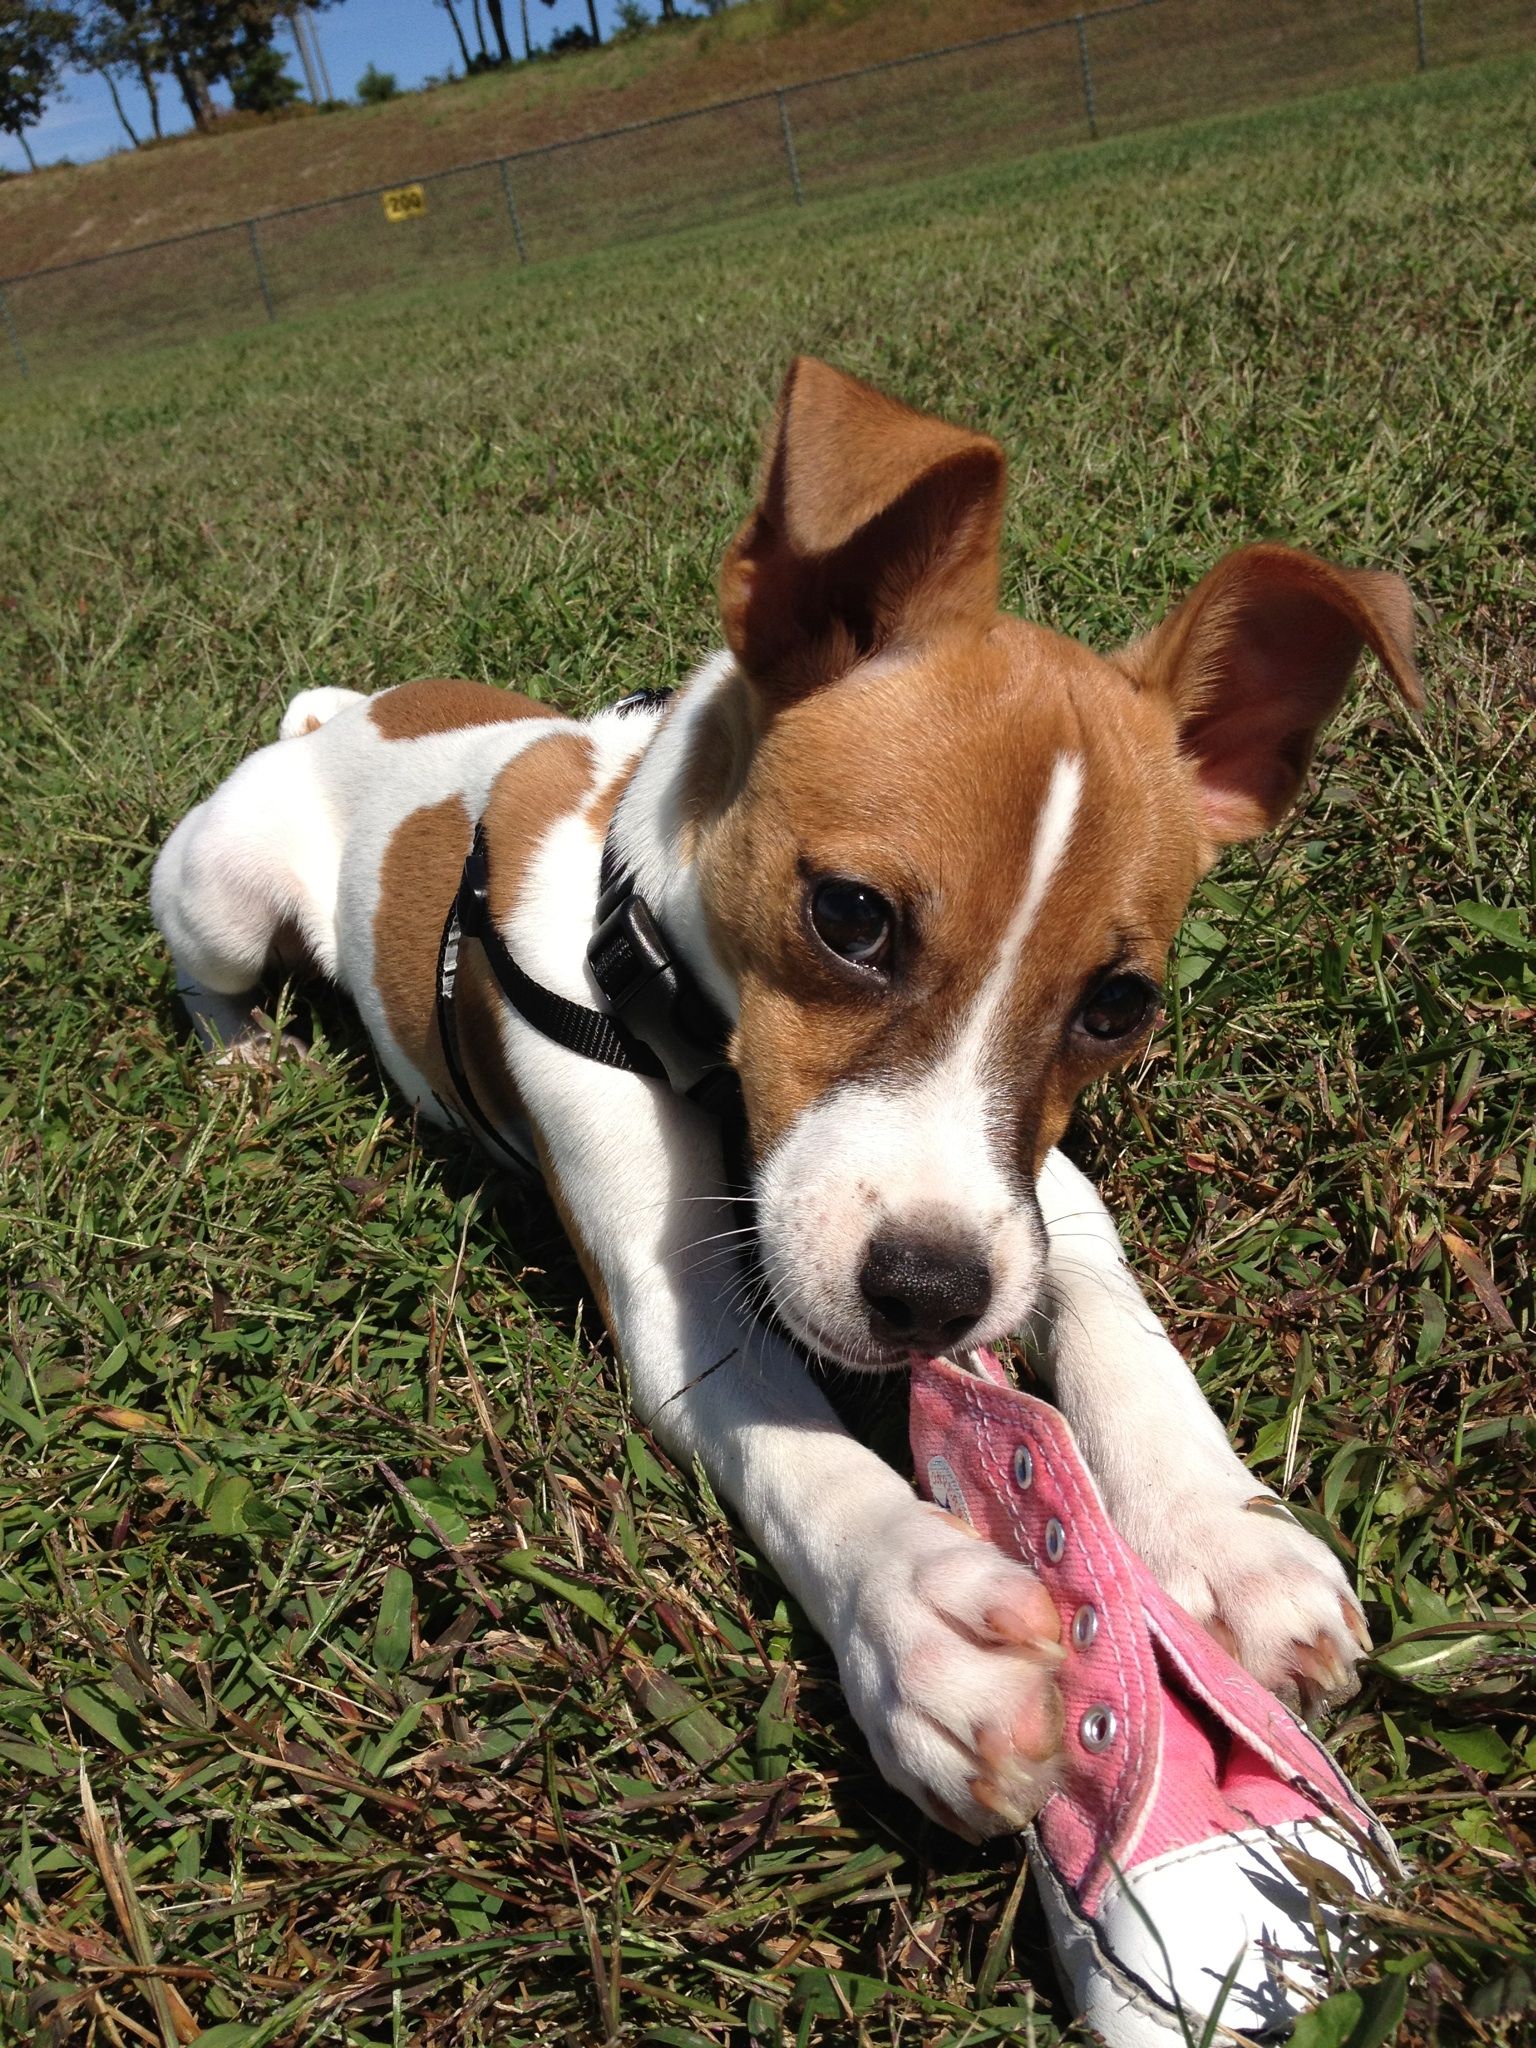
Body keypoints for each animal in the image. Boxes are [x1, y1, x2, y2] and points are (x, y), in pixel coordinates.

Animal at [150, 356, 1425, 1843]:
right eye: (851, 916)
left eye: (1119, 1006)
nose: (930, 1296)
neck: (645, 945)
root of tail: (339, 716)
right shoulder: (680, 1299)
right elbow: (795, 1449)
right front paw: (921, 1620)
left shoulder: (1026, 1184)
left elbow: (1111, 1309)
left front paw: (1218, 1526)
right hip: (222, 893)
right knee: (205, 973)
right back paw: (244, 1056)